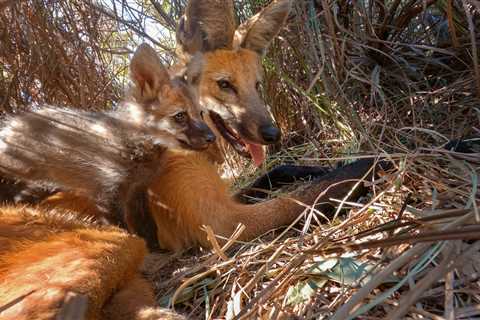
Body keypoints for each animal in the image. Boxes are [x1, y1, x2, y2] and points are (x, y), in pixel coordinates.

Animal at [0, 44, 214, 242]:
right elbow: (122, 228)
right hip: (16, 170)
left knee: (20, 198)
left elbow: (147, 227)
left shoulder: (138, 190)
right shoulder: (107, 193)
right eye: (180, 116)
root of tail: (13, 122)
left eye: (201, 113)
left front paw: (155, 246)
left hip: (41, 185)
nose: (212, 138)